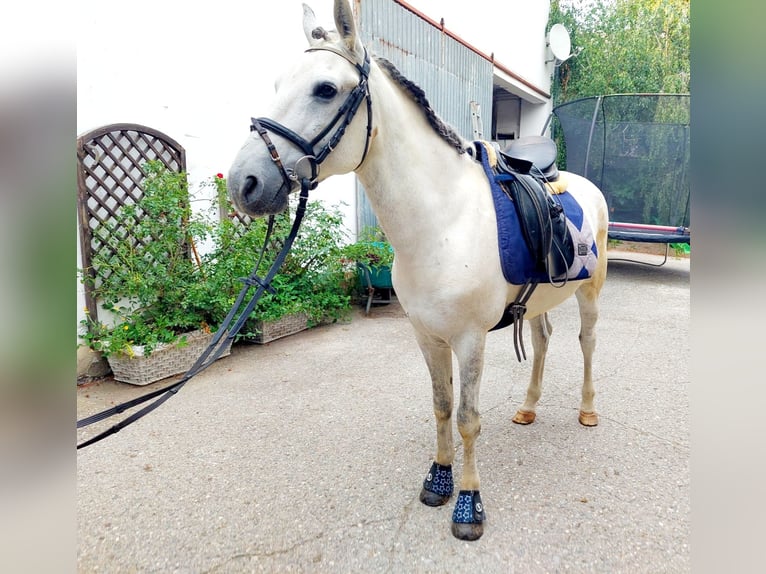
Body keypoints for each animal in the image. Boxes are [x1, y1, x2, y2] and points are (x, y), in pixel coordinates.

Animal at [225, 0, 608, 544]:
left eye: (325, 89)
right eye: (277, 84)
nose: (245, 182)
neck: (441, 223)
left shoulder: (470, 339)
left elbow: (468, 418)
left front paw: (468, 504)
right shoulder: (427, 336)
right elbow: (441, 406)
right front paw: (439, 479)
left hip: (590, 294)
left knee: (587, 342)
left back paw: (588, 409)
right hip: (539, 300)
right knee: (543, 341)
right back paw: (529, 407)